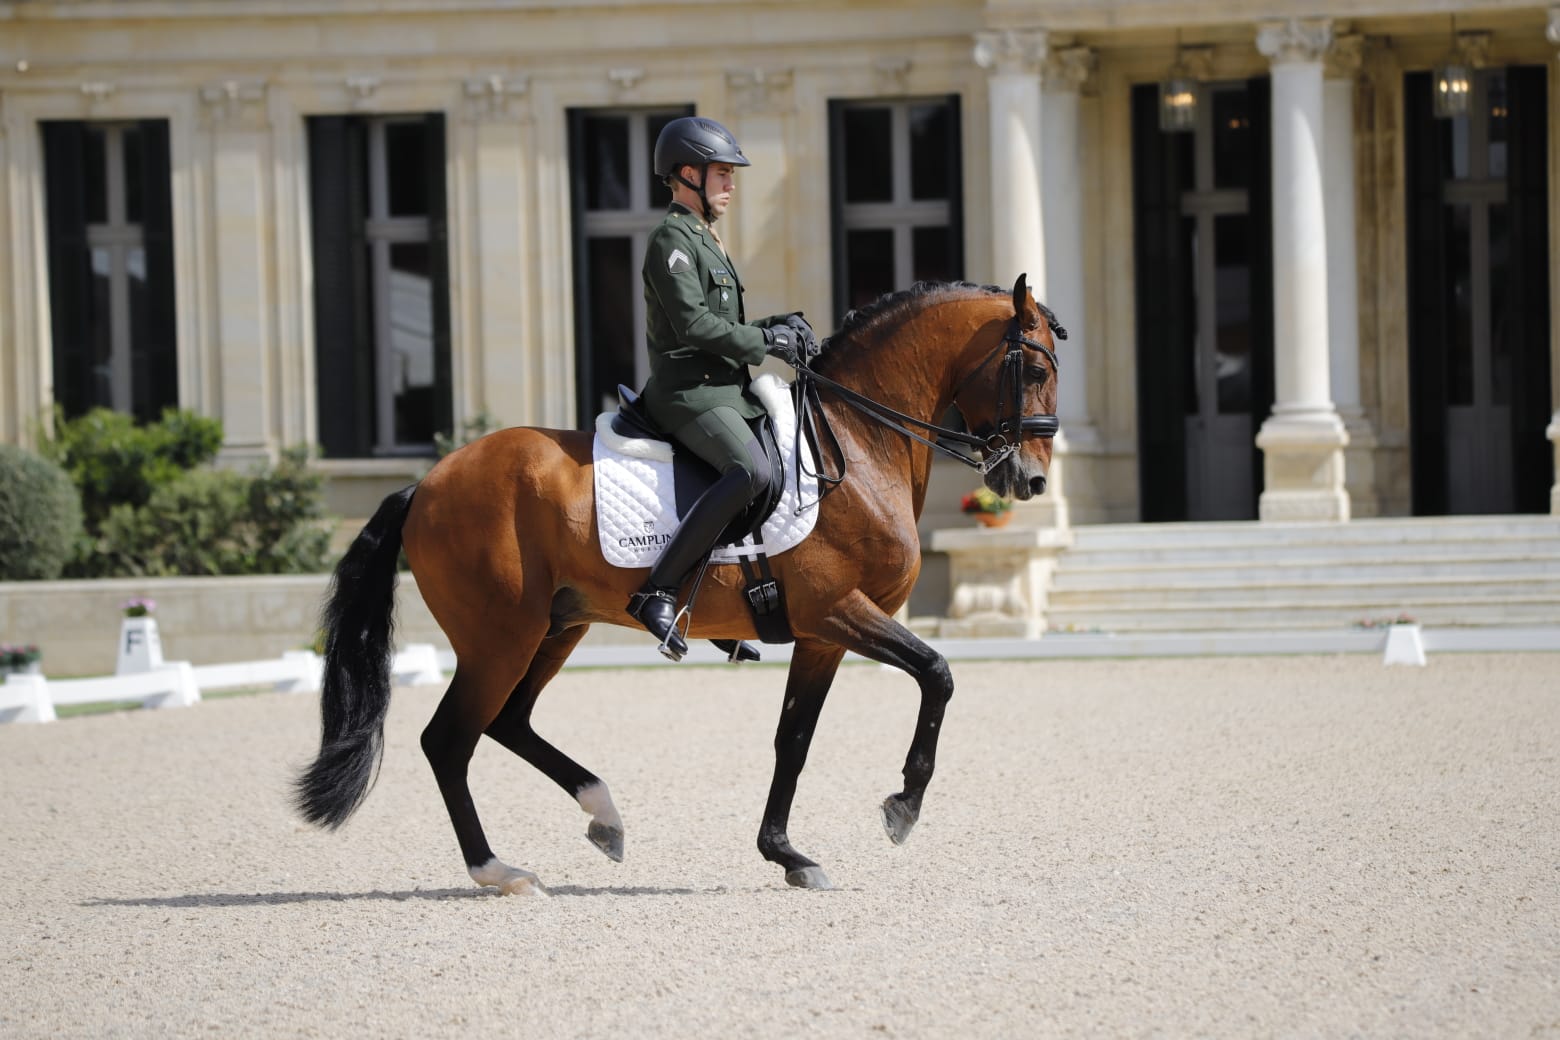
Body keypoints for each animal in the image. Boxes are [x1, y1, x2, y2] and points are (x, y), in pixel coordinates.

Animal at [294, 274, 1060, 898]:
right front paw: (903, 807)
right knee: (450, 740)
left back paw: (603, 817)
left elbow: (794, 740)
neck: (855, 441)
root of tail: (427, 483)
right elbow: (937, 673)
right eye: (1035, 367)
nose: (1031, 481)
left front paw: (786, 854)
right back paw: (500, 871)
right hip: (499, 638)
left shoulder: (820, 636)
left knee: (508, 722)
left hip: (556, 627)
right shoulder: (839, 612)